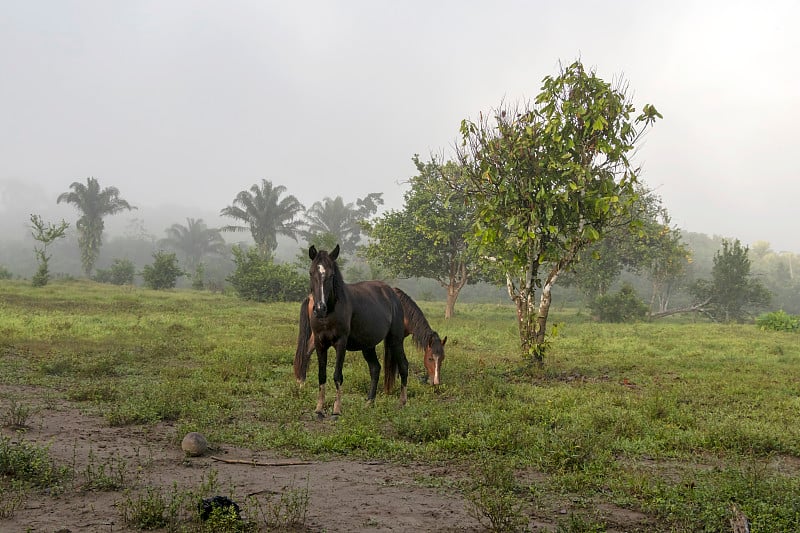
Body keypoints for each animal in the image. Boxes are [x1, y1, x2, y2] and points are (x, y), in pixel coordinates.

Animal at [296, 243, 410, 418]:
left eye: (331, 275)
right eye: (311, 272)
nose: (320, 308)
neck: (331, 311)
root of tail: (392, 294)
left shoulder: (341, 343)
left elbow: (337, 375)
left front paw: (336, 410)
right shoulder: (320, 343)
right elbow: (322, 375)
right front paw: (319, 409)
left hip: (395, 339)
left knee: (403, 365)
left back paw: (402, 403)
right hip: (368, 345)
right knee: (375, 368)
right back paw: (369, 403)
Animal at [296, 286, 450, 386]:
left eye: (442, 358)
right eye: (430, 358)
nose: (436, 382)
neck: (402, 309)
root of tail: (311, 297)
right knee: (308, 350)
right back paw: (302, 381)